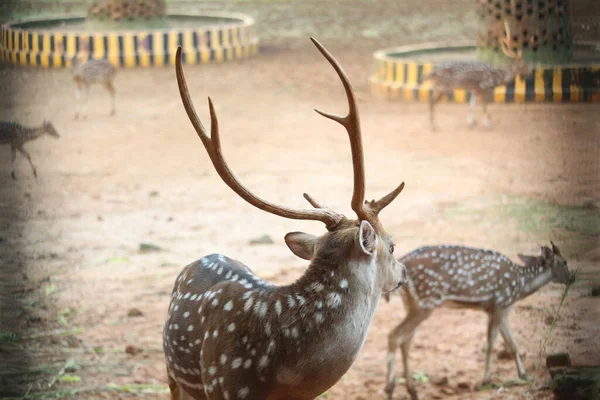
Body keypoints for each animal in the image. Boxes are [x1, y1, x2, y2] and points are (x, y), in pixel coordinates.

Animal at [384, 242, 572, 398]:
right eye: (564, 262)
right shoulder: (502, 304)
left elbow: (504, 344)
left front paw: (520, 375)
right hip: (426, 302)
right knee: (395, 335)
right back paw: (390, 389)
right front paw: (491, 379)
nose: (572, 278)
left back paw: (412, 391)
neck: (520, 286)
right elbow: (500, 343)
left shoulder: (494, 309)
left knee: (406, 341)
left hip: (413, 304)